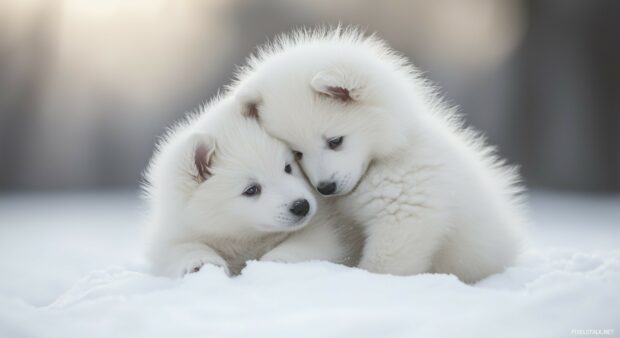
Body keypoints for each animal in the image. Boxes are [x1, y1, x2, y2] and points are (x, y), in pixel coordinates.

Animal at [143, 95, 358, 278]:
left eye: (287, 167)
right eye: (251, 189)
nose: (301, 206)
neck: (247, 237)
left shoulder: (323, 223)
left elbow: (313, 242)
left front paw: (275, 262)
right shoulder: (176, 231)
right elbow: (180, 248)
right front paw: (201, 263)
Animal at [235, 27, 524, 282]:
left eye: (335, 141)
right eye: (297, 153)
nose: (325, 188)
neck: (382, 163)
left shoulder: (406, 215)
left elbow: (384, 264)